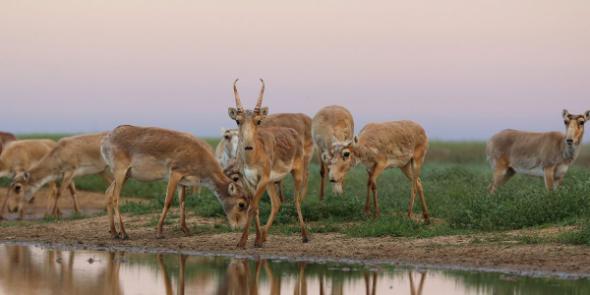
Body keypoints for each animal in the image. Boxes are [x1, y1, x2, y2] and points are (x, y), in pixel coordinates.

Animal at [102, 125, 250, 240]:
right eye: (241, 204)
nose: (240, 227)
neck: (200, 157)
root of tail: (106, 139)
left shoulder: (182, 181)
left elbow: (182, 202)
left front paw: (186, 230)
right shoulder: (175, 173)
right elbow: (168, 201)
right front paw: (159, 232)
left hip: (126, 175)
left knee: (108, 193)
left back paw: (114, 233)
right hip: (120, 172)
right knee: (115, 197)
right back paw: (124, 233)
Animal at [228, 79, 310, 250]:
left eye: (258, 121)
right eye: (238, 120)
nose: (248, 146)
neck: (252, 158)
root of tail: (292, 132)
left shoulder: (263, 179)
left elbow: (252, 208)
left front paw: (242, 242)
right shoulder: (248, 181)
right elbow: (255, 208)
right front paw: (256, 240)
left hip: (296, 173)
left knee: (297, 200)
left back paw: (305, 236)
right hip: (272, 182)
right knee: (277, 203)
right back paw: (264, 235)